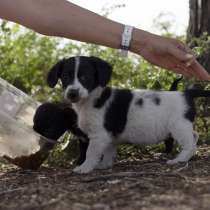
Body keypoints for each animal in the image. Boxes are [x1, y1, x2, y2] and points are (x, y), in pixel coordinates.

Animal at [48, 55, 210, 174]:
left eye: (84, 77)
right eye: (66, 77)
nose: (72, 93)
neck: (92, 98)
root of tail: (187, 93)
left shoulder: (99, 136)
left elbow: (91, 153)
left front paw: (85, 168)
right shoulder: (109, 137)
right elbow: (108, 152)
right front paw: (104, 165)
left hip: (178, 127)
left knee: (189, 144)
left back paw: (178, 160)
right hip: (182, 126)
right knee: (195, 136)